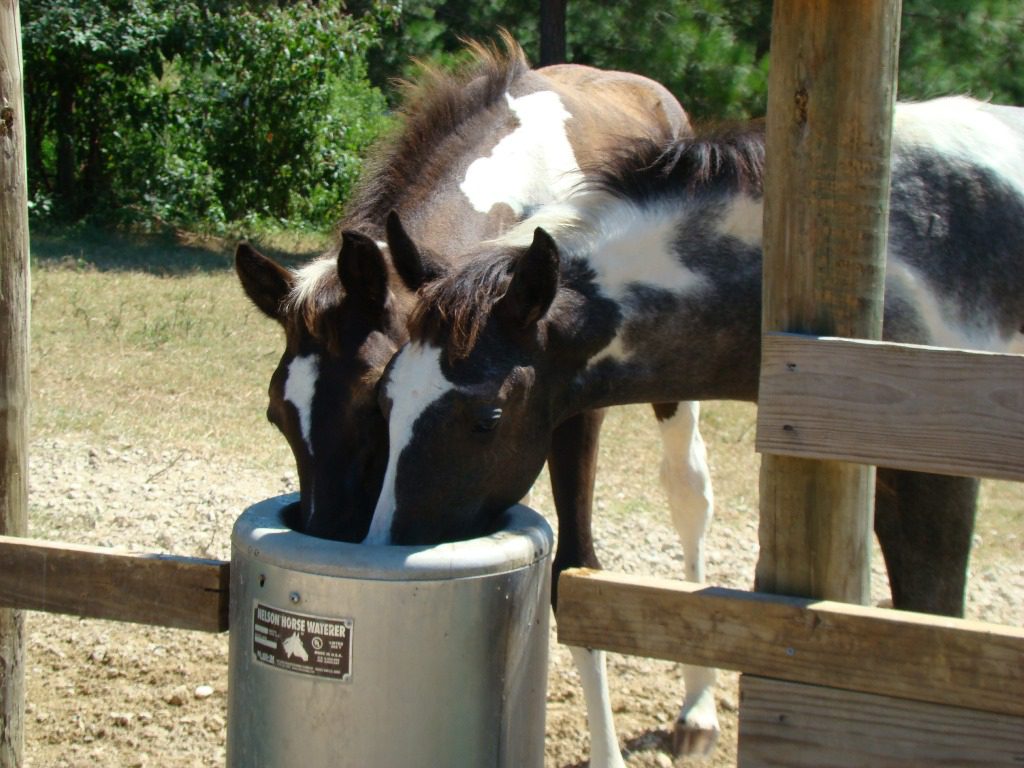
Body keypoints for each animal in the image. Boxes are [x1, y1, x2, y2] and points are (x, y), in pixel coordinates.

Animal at [234, 37, 720, 768]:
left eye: (370, 401)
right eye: (276, 415)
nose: (326, 532)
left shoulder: (573, 412)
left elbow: (576, 573)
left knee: (689, 492)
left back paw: (698, 710)